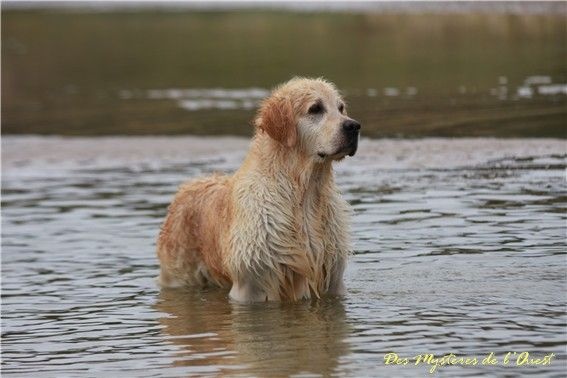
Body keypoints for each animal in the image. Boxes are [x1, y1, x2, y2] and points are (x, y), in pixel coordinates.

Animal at [156, 77, 360, 302]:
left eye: (341, 108)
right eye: (315, 109)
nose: (353, 126)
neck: (304, 192)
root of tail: (187, 186)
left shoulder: (333, 280)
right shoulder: (251, 284)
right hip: (179, 275)